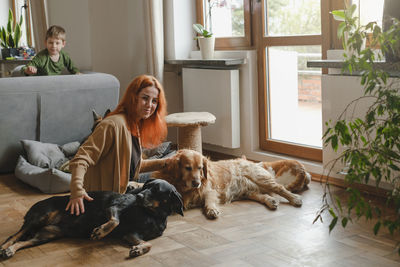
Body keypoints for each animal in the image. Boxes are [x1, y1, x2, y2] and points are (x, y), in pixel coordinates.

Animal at [0, 180, 183, 260]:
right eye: (145, 186)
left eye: (156, 189)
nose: (137, 196)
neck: (152, 214)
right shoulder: (113, 208)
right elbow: (114, 221)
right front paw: (100, 232)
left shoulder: (131, 234)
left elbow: (148, 243)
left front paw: (138, 249)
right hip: (40, 216)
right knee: (14, 236)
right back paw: (4, 248)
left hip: (46, 234)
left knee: (23, 241)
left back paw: (10, 251)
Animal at [153, 150, 310, 219]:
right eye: (187, 168)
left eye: (200, 168)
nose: (196, 183)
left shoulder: (210, 191)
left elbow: (209, 201)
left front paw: (211, 210)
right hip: (249, 191)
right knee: (261, 195)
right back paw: (270, 201)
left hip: (260, 178)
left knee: (280, 188)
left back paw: (295, 199)